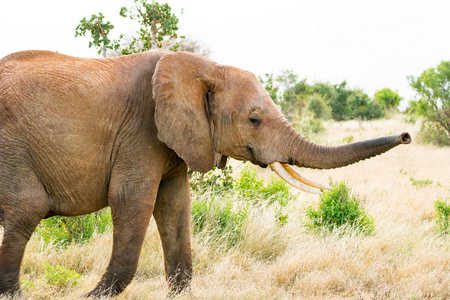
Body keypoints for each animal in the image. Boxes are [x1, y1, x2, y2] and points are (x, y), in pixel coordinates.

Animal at [0, 48, 410, 296]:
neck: (203, 67)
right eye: (254, 120)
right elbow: (131, 200)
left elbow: (175, 206)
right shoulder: (139, 132)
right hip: (12, 149)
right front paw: (91, 296)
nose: (407, 135)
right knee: (26, 211)